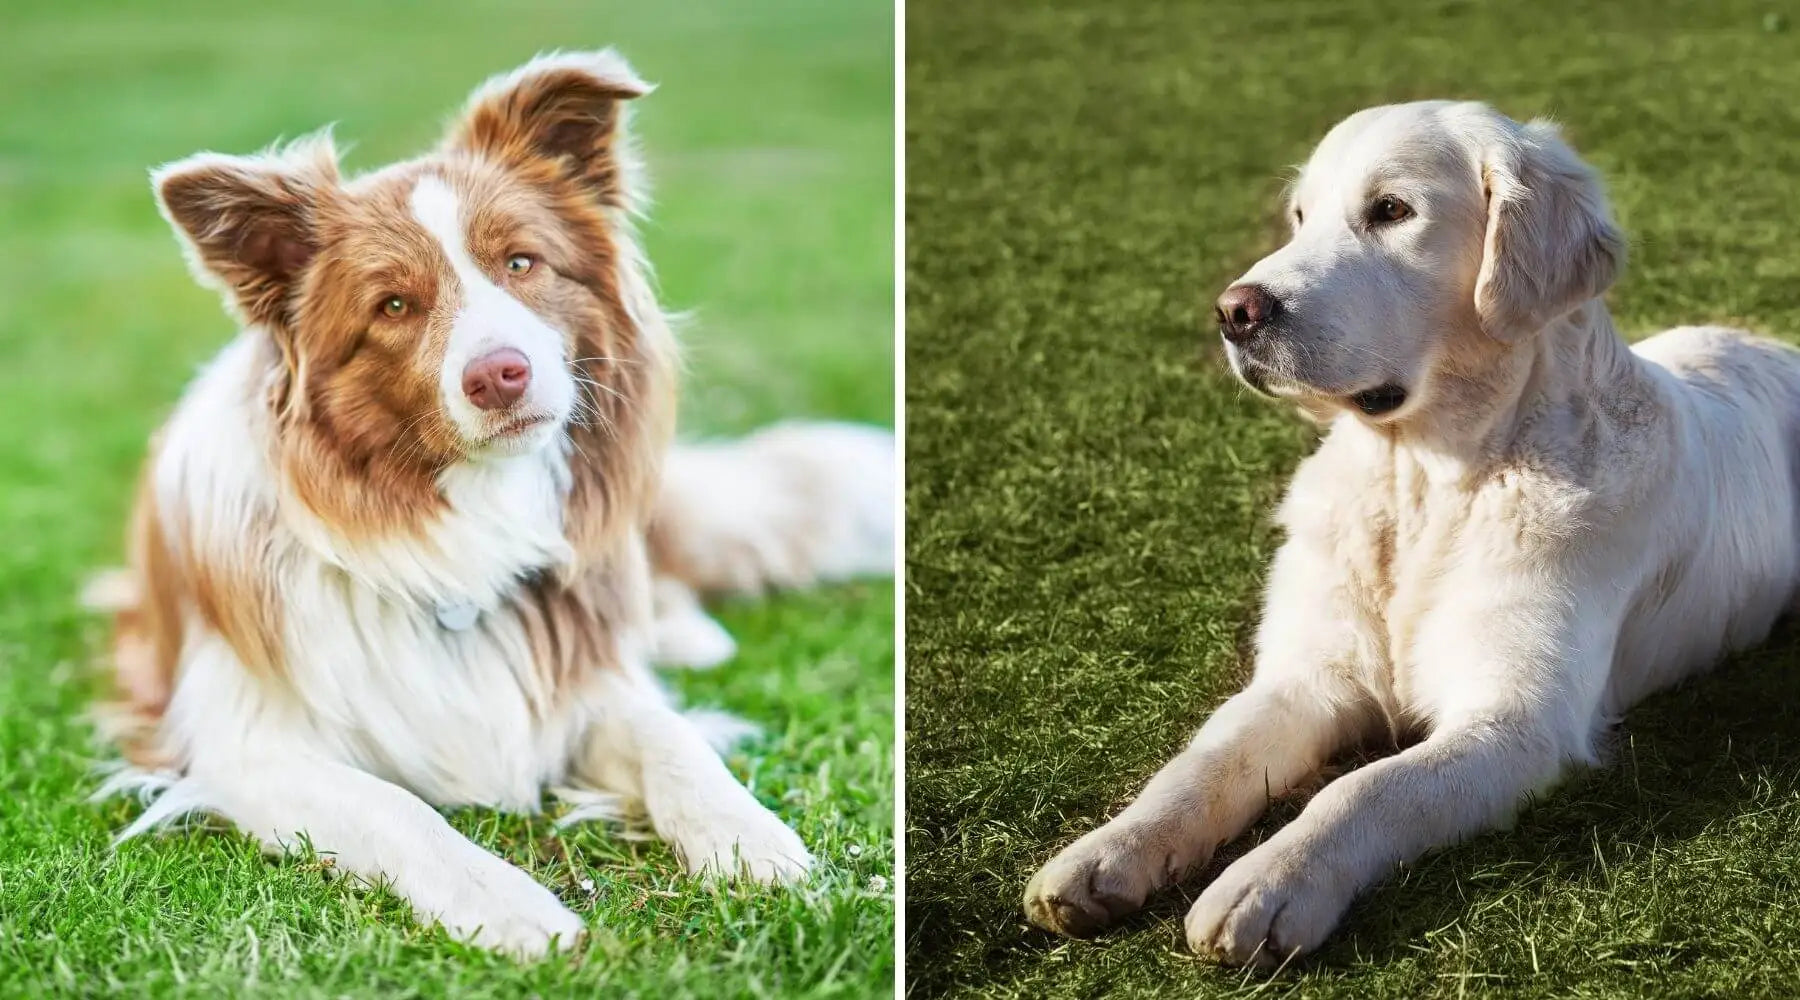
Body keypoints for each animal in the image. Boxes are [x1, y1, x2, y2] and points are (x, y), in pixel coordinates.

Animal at [91, 50, 892, 956]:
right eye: (393, 306)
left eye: (521, 263)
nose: (499, 374)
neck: (463, 525)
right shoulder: (244, 747)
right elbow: (398, 809)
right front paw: (510, 905)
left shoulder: (578, 679)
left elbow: (673, 737)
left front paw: (750, 838)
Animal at [1029, 101, 1800, 971]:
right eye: (1301, 217)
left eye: (1391, 210)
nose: (1235, 311)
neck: (1425, 485)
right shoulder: (1308, 676)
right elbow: (1201, 765)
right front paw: (1108, 852)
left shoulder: (1517, 719)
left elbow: (1364, 787)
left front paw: (1269, 884)